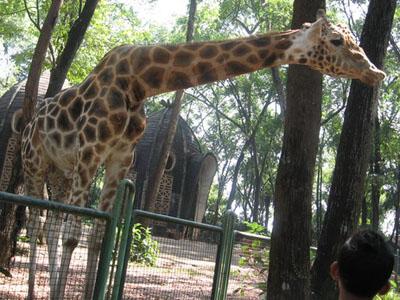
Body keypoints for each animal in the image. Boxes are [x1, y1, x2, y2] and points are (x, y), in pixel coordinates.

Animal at [21, 9, 384, 300]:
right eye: (336, 40)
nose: (376, 72)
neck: (140, 82)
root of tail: (29, 122)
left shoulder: (119, 158)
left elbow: (98, 236)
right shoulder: (90, 152)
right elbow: (73, 237)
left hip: (60, 172)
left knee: (48, 224)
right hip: (36, 164)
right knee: (37, 220)